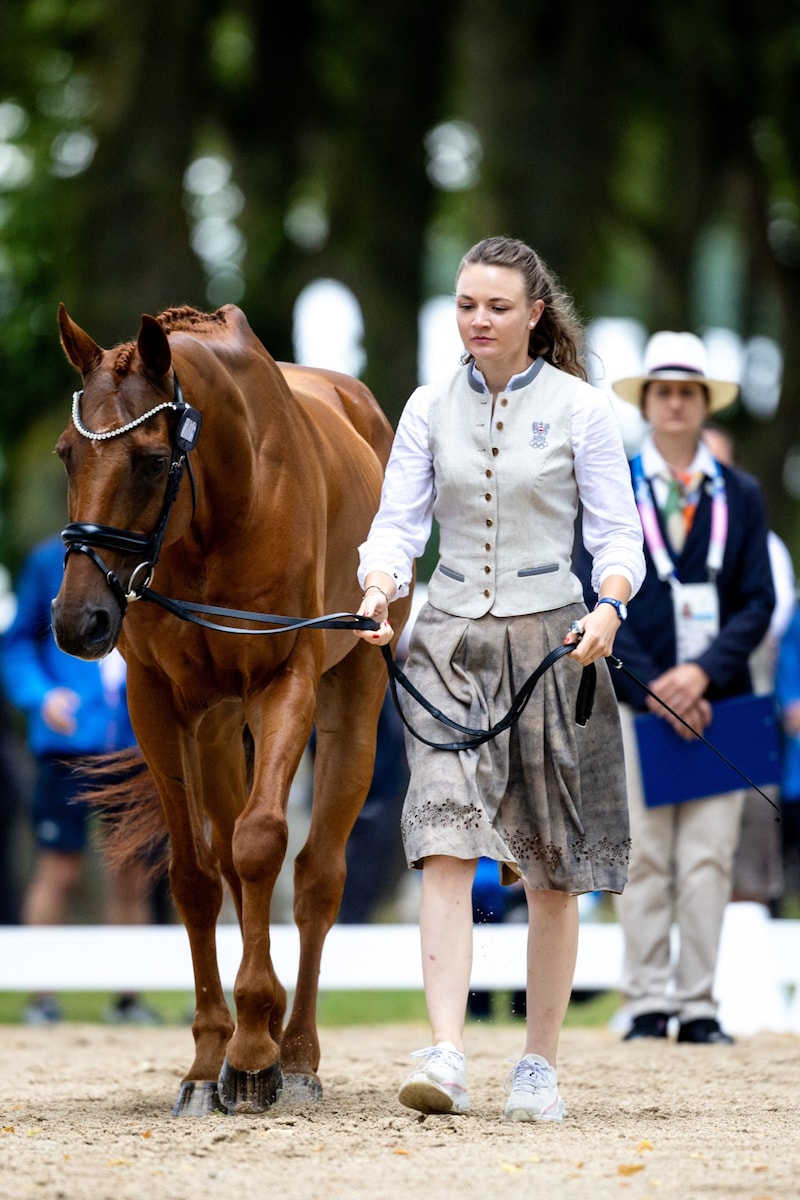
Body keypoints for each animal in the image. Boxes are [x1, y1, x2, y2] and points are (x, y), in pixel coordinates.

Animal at [51, 300, 412, 1113]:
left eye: (152, 461)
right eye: (65, 454)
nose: (77, 621)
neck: (222, 506)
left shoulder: (284, 681)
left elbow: (261, 844)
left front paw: (252, 1054)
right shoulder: (159, 701)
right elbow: (195, 875)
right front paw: (210, 1056)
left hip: (351, 703)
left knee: (315, 876)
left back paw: (295, 1052)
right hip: (216, 725)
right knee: (229, 861)